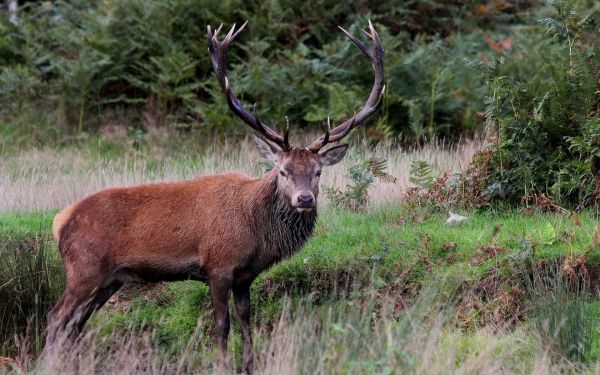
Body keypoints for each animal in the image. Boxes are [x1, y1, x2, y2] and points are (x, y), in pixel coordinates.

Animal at [45, 21, 384, 375]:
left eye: (318, 172)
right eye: (282, 171)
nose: (304, 199)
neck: (257, 232)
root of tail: (60, 220)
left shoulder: (245, 275)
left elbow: (247, 319)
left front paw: (250, 365)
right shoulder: (217, 265)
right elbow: (222, 325)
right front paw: (222, 365)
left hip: (110, 279)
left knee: (75, 324)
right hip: (84, 267)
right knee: (56, 318)